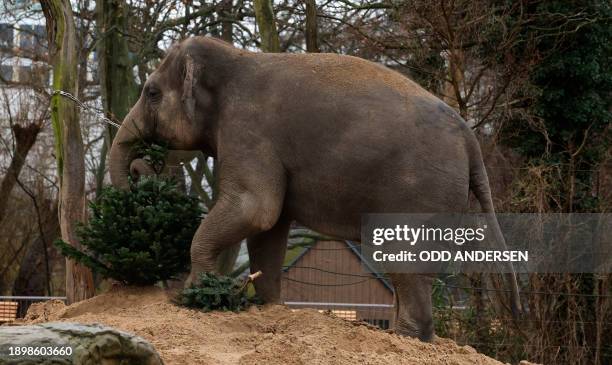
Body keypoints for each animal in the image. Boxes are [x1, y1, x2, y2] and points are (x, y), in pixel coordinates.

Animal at [110, 35, 520, 340]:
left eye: (150, 92)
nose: (140, 169)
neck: (235, 56)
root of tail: (470, 140)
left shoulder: (248, 131)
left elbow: (255, 209)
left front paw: (193, 298)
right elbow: (268, 229)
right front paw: (266, 308)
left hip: (419, 196)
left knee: (403, 263)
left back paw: (403, 337)